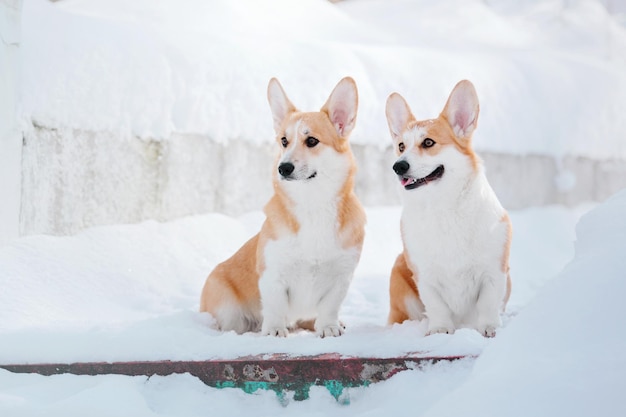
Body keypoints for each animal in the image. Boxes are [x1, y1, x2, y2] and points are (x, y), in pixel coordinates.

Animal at [199, 78, 366, 336]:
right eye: (284, 141)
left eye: (311, 141)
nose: (283, 168)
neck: (313, 204)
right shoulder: (272, 274)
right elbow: (275, 305)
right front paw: (275, 331)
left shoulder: (341, 275)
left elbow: (329, 306)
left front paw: (328, 327)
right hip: (227, 308)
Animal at [382, 79, 510, 336]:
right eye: (401, 146)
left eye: (428, 142)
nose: (398, 166)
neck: (440, 206)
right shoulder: (425, 276)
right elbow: (436, 305)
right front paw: (440, 330)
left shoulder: (494, 270)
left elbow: (488, 303)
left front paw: (489, 328)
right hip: (398, 272)